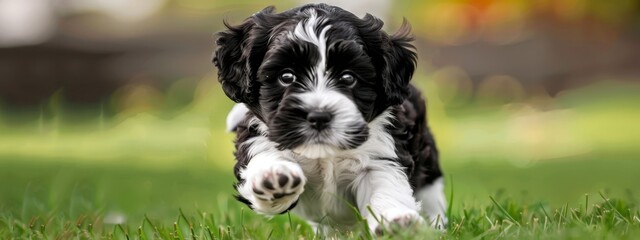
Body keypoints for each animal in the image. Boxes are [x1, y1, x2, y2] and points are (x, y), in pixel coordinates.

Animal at [212, 2, 448, 233]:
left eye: (348, 78)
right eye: (286, 76)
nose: (319, 116)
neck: (324, 155)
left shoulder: (381, 154)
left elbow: (385, 186)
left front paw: (395, 220)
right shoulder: (258, 137)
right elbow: (264, 156)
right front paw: (273, 176)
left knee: (431, 195)